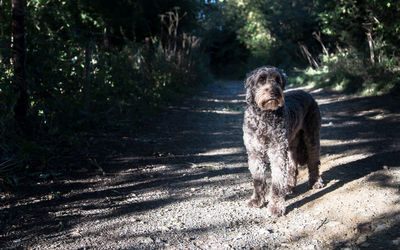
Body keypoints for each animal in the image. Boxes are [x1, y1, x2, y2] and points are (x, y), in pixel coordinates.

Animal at [242, 66, 324, 217]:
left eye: (277, 79)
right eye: (261, 80)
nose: (274, 92)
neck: (264, 116)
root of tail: (306, 93)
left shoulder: (277, 152)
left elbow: (277, 183)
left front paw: (276, 207)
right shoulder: (255, 152)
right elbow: (258, 180)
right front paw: (257, 200)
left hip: (312, 137)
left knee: (313, 162)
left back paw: (315, 182)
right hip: (291, 144)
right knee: (292, 166)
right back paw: (289, 186)